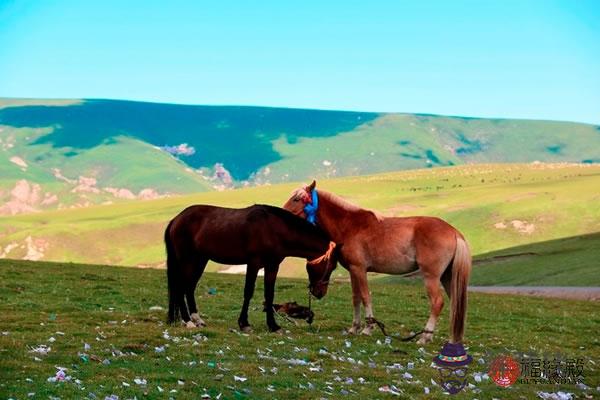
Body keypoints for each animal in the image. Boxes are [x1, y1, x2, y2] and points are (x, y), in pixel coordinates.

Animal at [164, 205, 338, 332]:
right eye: (332, 266)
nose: (320, 293)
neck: (274, 229)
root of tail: (176, 219)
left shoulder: (272, 266)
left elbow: (269, 295)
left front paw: (273, 326)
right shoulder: (254, 263)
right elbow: (248, 292)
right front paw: (244, 323)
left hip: (200, 261)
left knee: (188, 288)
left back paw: (197, 319)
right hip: (187, 260)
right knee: (180, 288)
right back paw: (188, 321)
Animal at [284, 181, 472, 344]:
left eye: (296, 199)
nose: (282, 212)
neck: (349, 226)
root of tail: (454, 232)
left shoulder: (359, 269)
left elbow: (365, 297)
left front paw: (368, 328)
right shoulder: (353, 271)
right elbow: (356, 298)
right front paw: (354, 328)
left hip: (431, 277)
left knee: (437, 302)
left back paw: (425, 337)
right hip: (448, 277)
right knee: (455, 303)